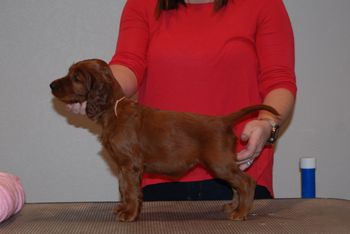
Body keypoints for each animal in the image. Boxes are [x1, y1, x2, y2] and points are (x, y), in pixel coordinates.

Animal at [50, 58, 278, 221]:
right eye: (70, 73)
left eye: (77, 77)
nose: (51, 85)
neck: (114, 109)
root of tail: (223, 120)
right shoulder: (123, 166)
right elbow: (123, 188)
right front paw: (124, 208)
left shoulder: (130, 164)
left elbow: (130, 190)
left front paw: (129, 214)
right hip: (223, 163)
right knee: (236, 184)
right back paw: (234, 206)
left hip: (218, 163)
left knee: (246, 181)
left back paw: (241, 212)